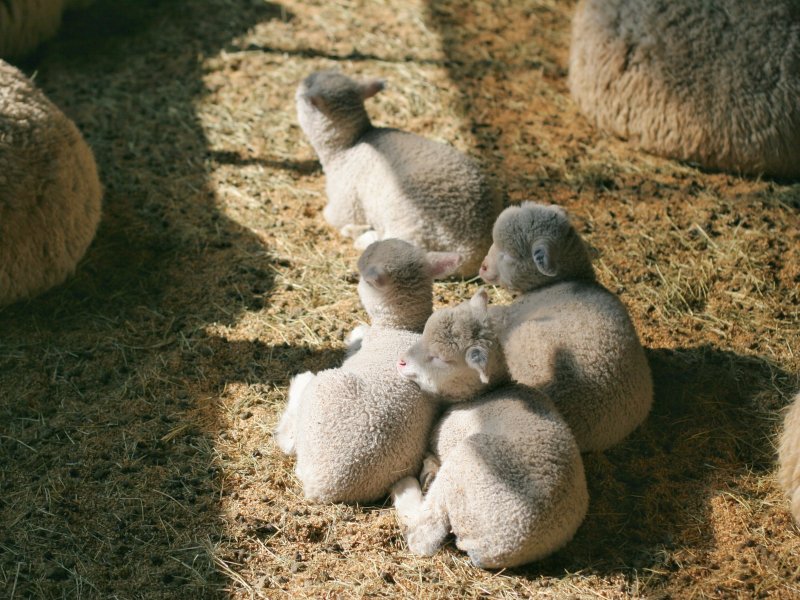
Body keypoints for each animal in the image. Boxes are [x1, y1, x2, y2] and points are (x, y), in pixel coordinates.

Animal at [274, 239, 463, 504]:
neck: (400, 327)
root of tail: (322, 488)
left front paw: (355, 332)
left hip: (322, 393)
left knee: (289, 441)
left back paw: (301, 381)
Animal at [295, 70, 501, 277]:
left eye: (307, 86)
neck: (348, 146)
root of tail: (471, 251)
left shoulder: (345, 202)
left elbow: (330, 216)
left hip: (409, 223)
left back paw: (360, 237)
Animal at [392, 289, 589, 568]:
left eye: (441, 359)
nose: (401, 363)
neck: (485, 394)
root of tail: (494, 548)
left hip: (464, 464)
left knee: (425, 535)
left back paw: (407, 486)